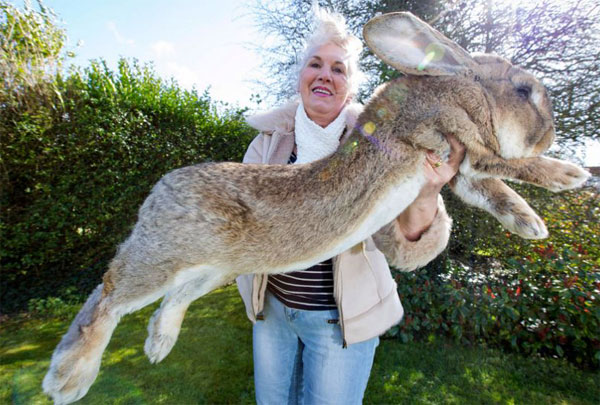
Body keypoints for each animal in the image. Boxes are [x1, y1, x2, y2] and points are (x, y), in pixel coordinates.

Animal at [43, 11, 590, 404]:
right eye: (523, 90)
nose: (551, 135)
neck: (458, 87)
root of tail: (160, 190)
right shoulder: (453, 138)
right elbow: (507, 164)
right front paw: (570, 175)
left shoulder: (460, 168)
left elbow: (493, 188)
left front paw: (531, 224)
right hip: (167, 255)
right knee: (107, 296)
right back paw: (68, 378)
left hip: (215, 268)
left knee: (172, 298)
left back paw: (158, 344)